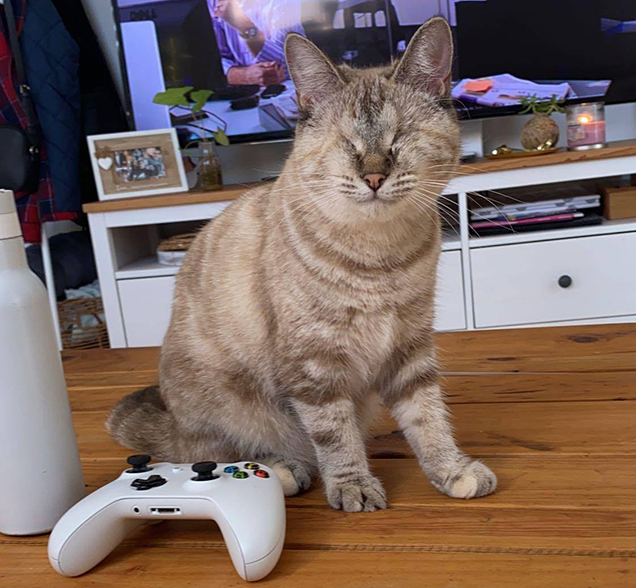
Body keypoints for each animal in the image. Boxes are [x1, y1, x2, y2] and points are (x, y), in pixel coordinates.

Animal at [108, 18, 496, 512]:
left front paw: (451, 470)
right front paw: (354, 486)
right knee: (217, 453)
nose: (374, 177)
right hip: (226, 404)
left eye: (401, 138)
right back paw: (282, 469)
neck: (380, 257)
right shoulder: (315, 364)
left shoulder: (410, 346)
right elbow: (335, 436)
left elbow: (428, 418)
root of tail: (173, 424)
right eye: (347, 144)